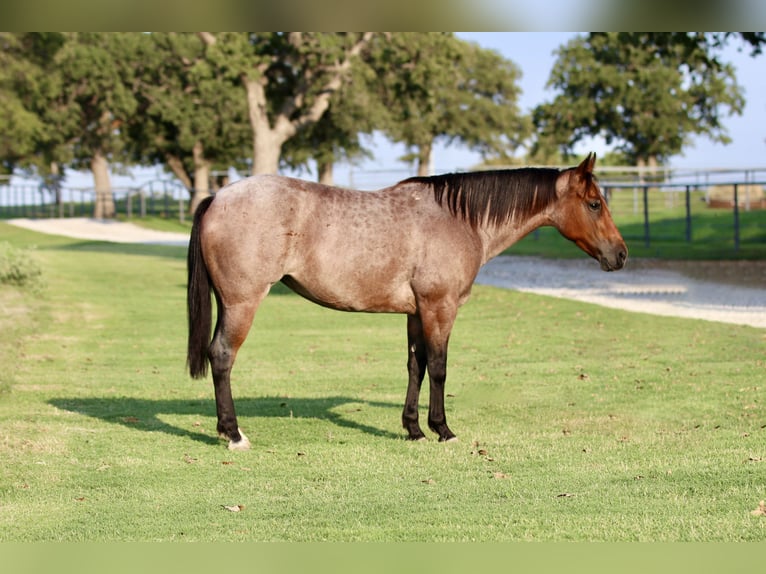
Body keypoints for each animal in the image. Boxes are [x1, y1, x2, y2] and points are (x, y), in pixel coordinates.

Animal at [187, 153, 627, 450]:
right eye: (594, 204)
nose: (621, 255)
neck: (459, 219)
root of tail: (217, 197)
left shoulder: (417, 312)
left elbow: (416, 367)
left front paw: (413, 429)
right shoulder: (440, 307)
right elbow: (440, 368)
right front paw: (443, 430)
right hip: (242, 303)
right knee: (222, 356)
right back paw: (234, 434)